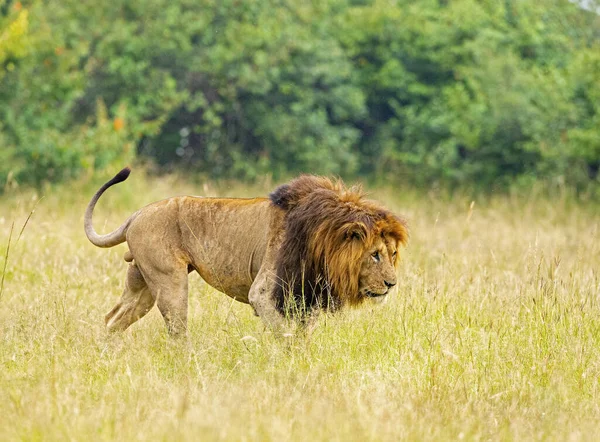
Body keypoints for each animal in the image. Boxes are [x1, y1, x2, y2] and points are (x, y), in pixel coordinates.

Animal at [83, 167, 408, 336]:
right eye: (375, 254)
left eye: (392, 254)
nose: (392, 284)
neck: (323, 243)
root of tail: (136, 214)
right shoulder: (263, 292)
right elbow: (286, 335)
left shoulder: (306, 297)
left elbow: (302, 336)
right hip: (169, 280)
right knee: (177, 330)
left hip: (143, 281)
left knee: (112, 320)